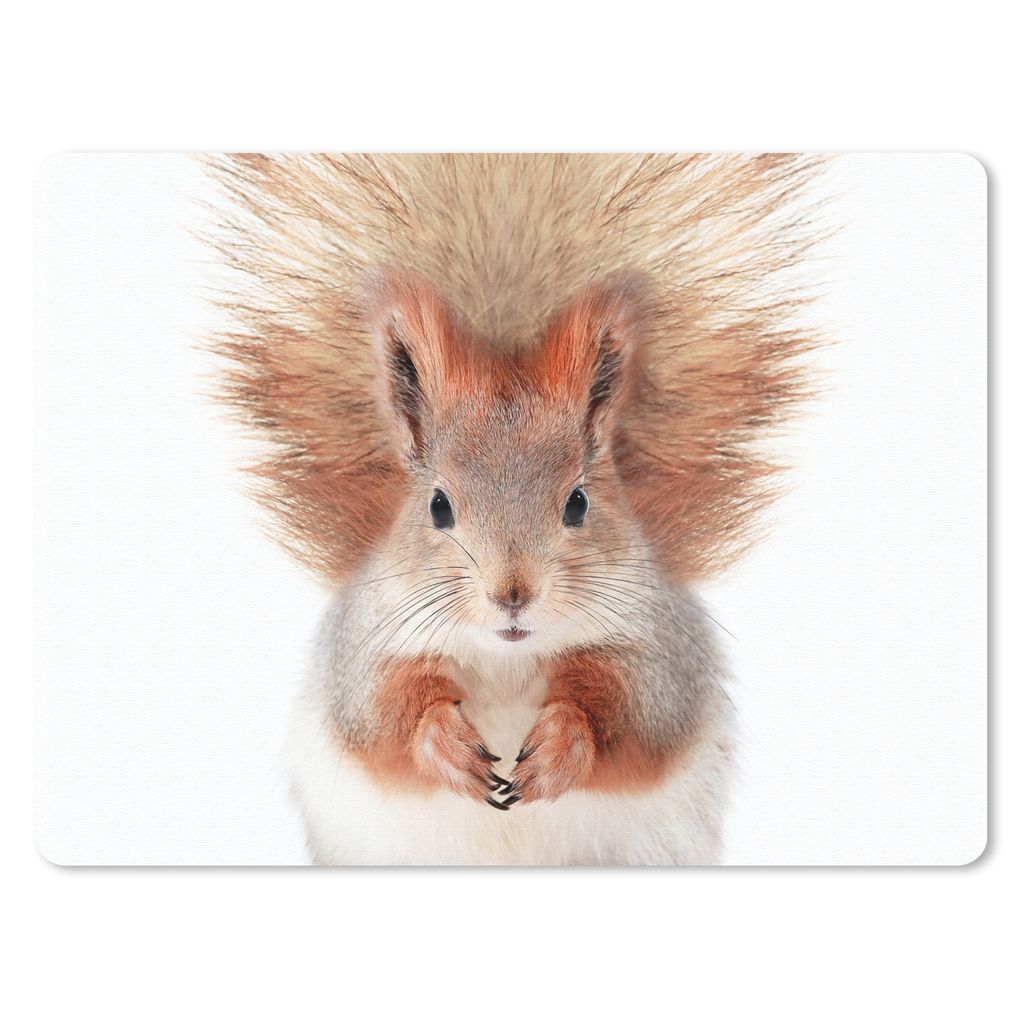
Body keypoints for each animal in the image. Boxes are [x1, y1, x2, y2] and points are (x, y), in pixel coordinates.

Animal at [205, 154, 824, 865]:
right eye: (437, 505)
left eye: (579, 502)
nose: (512, 593)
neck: (506, 660)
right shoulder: (364, 647)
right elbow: (381, 716)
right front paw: (445, 745)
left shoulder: (659, 650)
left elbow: (637, 714)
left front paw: (561, 747)